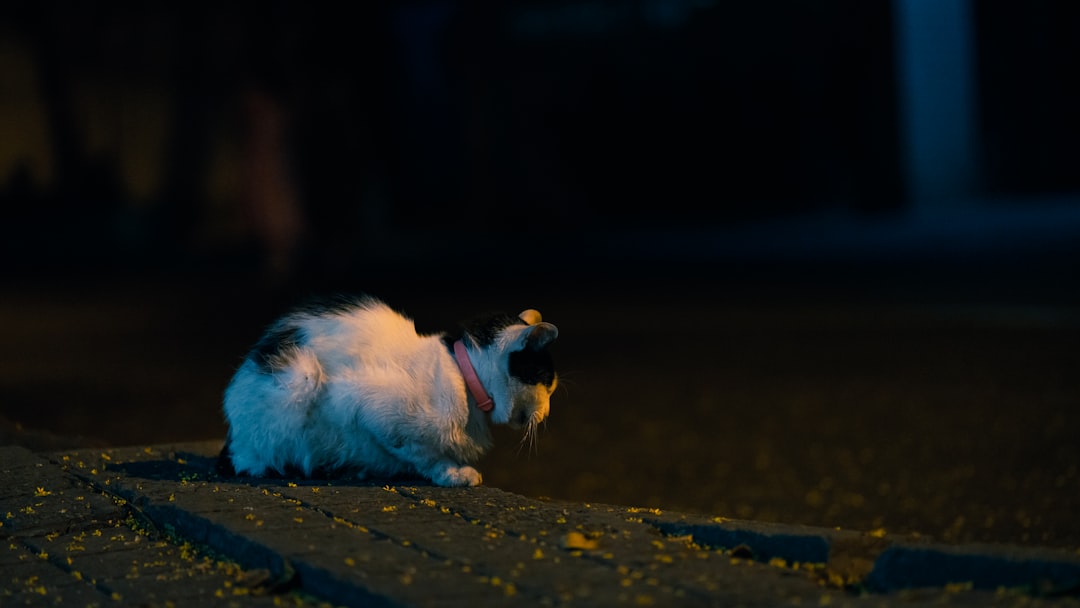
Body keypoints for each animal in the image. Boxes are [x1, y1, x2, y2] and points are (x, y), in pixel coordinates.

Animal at [216, 295, 561, 490]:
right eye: (547, 383)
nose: (546, 413)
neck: (463, 375)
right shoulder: (363, 405)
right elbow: (423, 453)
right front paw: (451, 473)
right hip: (301, 377)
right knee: (253, 460)